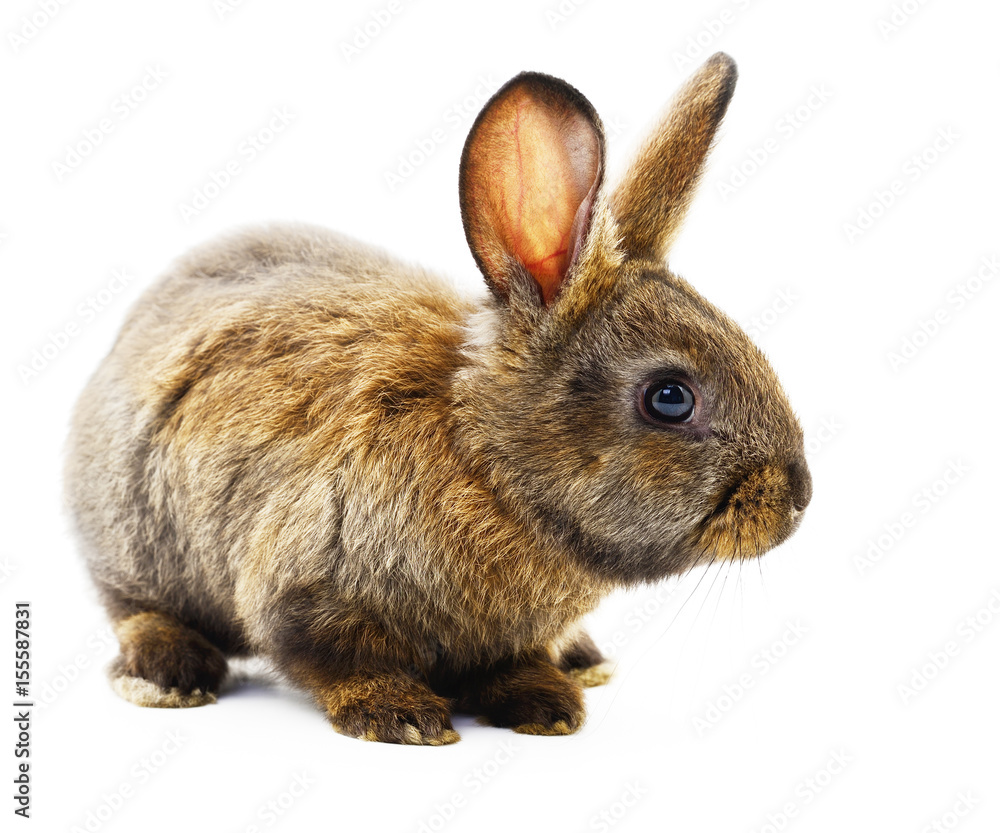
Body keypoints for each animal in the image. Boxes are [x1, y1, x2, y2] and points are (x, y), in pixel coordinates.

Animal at [64, 52, 811, 745]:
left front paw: (547, 705)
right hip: (133, 539)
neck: (487, 466)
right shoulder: (304, 589)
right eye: (669, 397)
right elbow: (337, 660)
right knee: (135, 607)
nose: (798, 497)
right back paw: (168, 674)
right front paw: (403, 717)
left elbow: (512, 663)